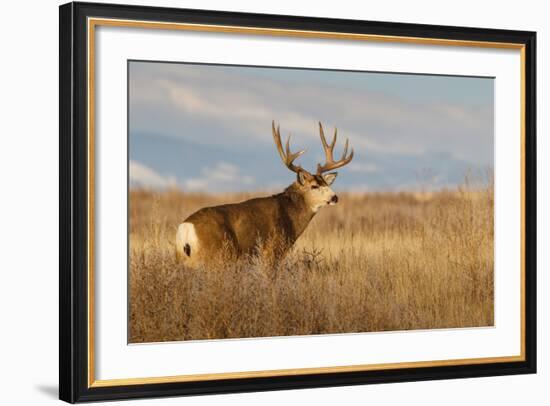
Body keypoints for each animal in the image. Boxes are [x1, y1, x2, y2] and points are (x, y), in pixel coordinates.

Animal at [178, 120, 358, 268]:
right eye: (314, 186)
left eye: (327, 184)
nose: (335, 197)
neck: (290, 216)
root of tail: (186, 229)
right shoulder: (273, 250)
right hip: (217, 254)